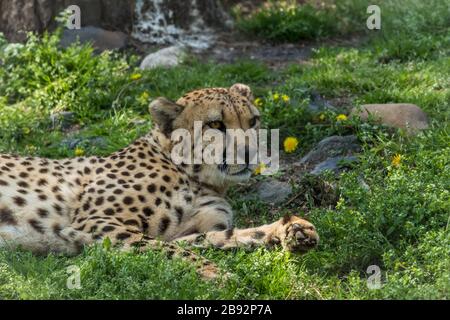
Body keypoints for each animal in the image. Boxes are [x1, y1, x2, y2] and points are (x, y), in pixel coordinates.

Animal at [0, 84, 318, 278]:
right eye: (216, 124)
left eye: (252, 121)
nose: (250, 153)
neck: (195, 176)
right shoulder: (95, 224)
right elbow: (173, 251)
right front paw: (218, 275)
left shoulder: (180, 231)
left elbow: (212, 238)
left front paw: (286, 230)